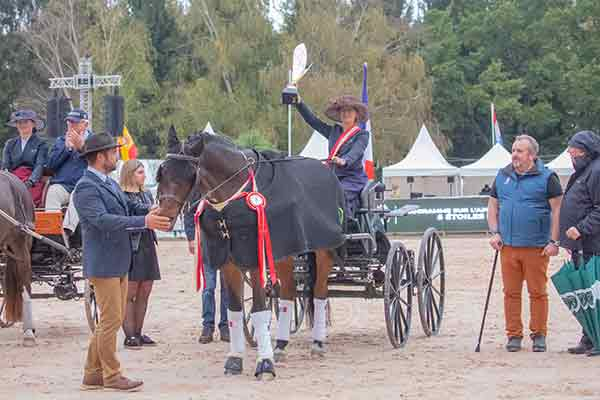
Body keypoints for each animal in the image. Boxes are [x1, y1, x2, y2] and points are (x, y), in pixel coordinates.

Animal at [155, 126, 344, 380]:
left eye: (189, 173)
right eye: (162, 171)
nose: (164, 216)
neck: (233, 200)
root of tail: (326, 171)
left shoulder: (254, 260)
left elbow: (259, 310)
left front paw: (265, 364)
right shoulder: (229, 261)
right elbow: (235, 311)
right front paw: (235, 359)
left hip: (324, 251)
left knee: (319, 293)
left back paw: (317, 343)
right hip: (284, 253)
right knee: (288, 293)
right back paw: (281, 345)